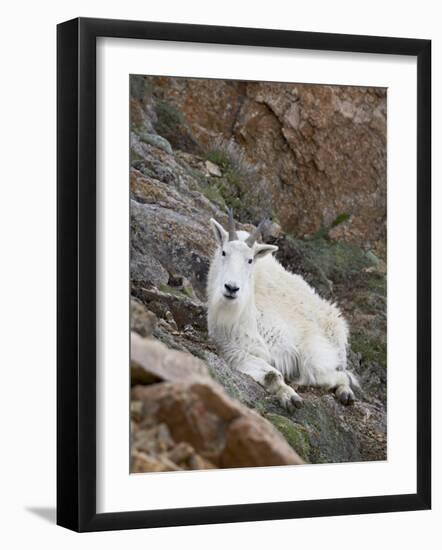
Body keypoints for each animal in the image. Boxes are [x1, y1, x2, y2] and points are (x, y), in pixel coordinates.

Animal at [207, 213, 360, 412]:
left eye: (250, 260)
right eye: (224, 252)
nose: (231, 288)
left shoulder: (305, 345)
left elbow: (317, 372)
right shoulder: (233, 349)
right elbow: (271, 374)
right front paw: (290, 397)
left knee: (341, 372)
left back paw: (345, 393)